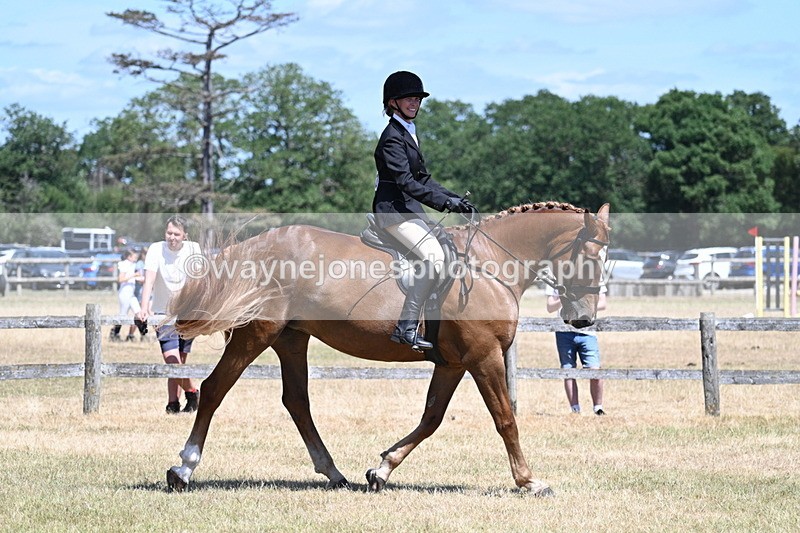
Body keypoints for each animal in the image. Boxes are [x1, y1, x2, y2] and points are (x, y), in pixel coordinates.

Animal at [166, 201, 611, 496]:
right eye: (590, 256)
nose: (583, 320)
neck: (490, 265)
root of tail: (255, 245)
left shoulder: (452, 363)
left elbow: (431, 417)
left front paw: (382, 469)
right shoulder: (483, 356)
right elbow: (505, 419)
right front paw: (529, 480)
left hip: (291, 339)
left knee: (297, 401)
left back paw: (334, 473)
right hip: (257, 333)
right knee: (215, 389)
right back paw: (183, 469)